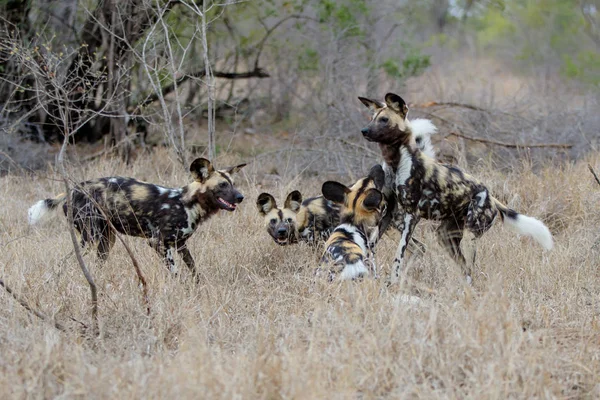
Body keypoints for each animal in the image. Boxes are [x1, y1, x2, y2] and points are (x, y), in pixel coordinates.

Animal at [27, 158, 248, 280]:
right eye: (222, 185)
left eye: (233, 183)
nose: (240, 197)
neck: (187, 203)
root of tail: (73, 189)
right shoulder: (158, 243)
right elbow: (176, 273)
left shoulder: (180, 245)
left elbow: (194, 271)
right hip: (90, 239)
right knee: (65, 261)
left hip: (106, 242)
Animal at [356, 92, 552, 282]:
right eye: (372, 118)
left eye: (384, 120)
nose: (364, 131)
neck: (395, 161)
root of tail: (492, 197)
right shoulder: (388, 212)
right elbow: (370, 246)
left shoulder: (411, 216)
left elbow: (398, 255)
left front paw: (394, 281)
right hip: (446, 237)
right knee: (464, 269)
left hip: (470, 236)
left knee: (471, 270)